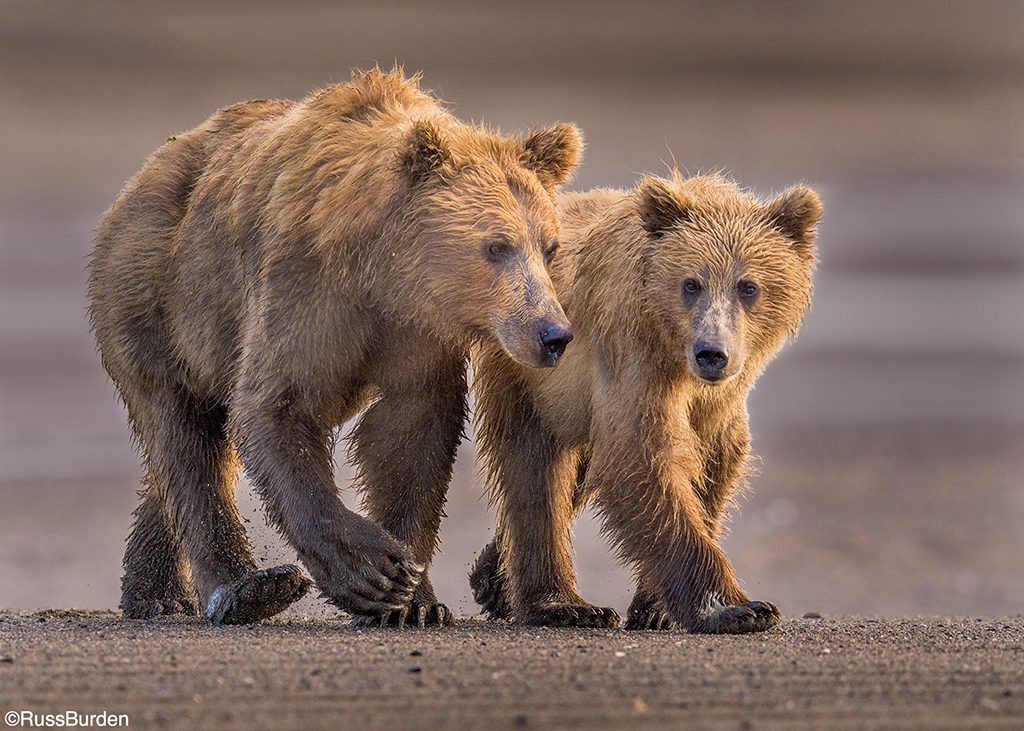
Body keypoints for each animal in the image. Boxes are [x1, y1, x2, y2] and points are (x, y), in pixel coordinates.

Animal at [468, 170, 819, 630]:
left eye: (748, 286)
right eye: (691, 283)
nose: (711, 352)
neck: (677, 356)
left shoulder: (717, 402)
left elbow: (711, 465)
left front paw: (656, 609)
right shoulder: (632, 353)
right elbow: (640, 457)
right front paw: (737, 607)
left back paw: (493, 579)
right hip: (530, 374)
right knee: (535, 472)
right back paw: (562, 604)